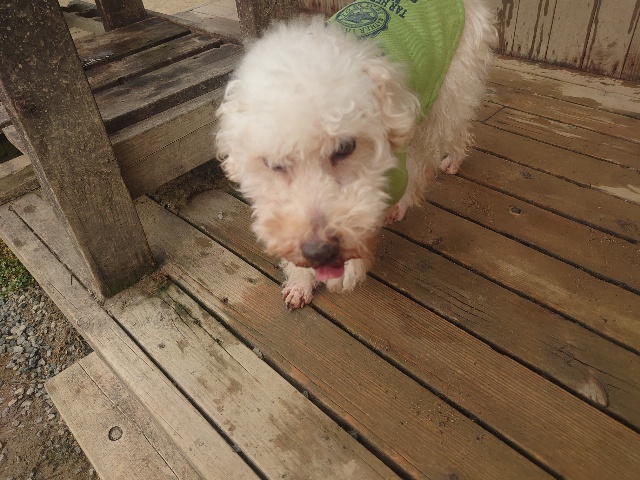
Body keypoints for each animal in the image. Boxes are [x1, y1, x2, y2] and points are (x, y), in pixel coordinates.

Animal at [216, 0, 495, 309]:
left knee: (439, 144)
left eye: (345, 148)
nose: (320, 252)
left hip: (450, 87)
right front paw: (300, 282)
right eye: (273, 164)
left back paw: (444, 168)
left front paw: (350, 269)